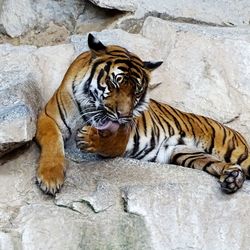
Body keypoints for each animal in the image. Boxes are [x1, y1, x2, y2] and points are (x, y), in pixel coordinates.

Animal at [36, 32, 248, 195]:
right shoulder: (49, 117)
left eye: (137, 91)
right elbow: (53, 141)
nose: (124, 115)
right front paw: (50, 177)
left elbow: (109, 141)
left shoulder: (122, 135)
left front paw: (89, 138)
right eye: (114, 83)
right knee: (214, 163)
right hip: (183, 152)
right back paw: (232, 178)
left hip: (236, 153)